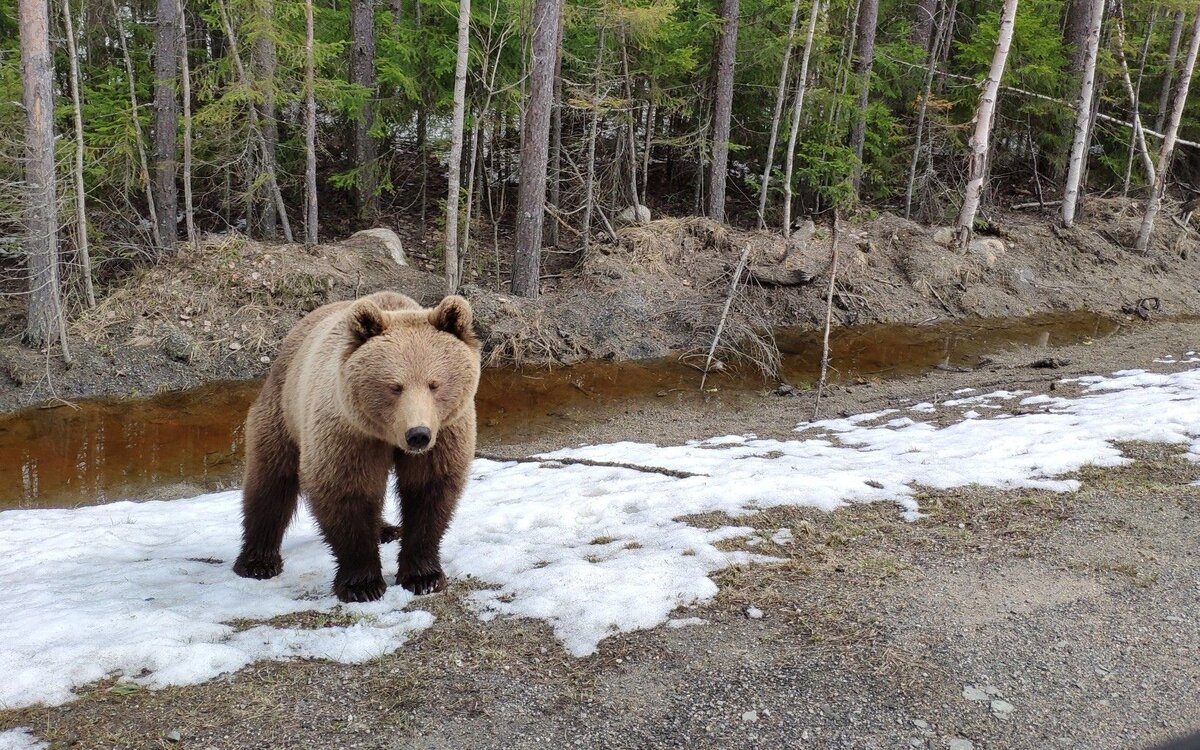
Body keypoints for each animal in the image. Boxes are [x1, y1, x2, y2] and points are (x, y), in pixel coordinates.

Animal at [231, 289, 480, 600]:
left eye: (434, 384)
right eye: (395, 386)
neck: (386, 434)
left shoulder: (444, 433)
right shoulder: (349, 434)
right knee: (270, 481)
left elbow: (429, 490)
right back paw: (257, 562)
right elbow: (347, 491)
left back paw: (386, 530)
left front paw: (424, 577)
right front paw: (362, 585)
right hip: (283, 410)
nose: (418, 434)